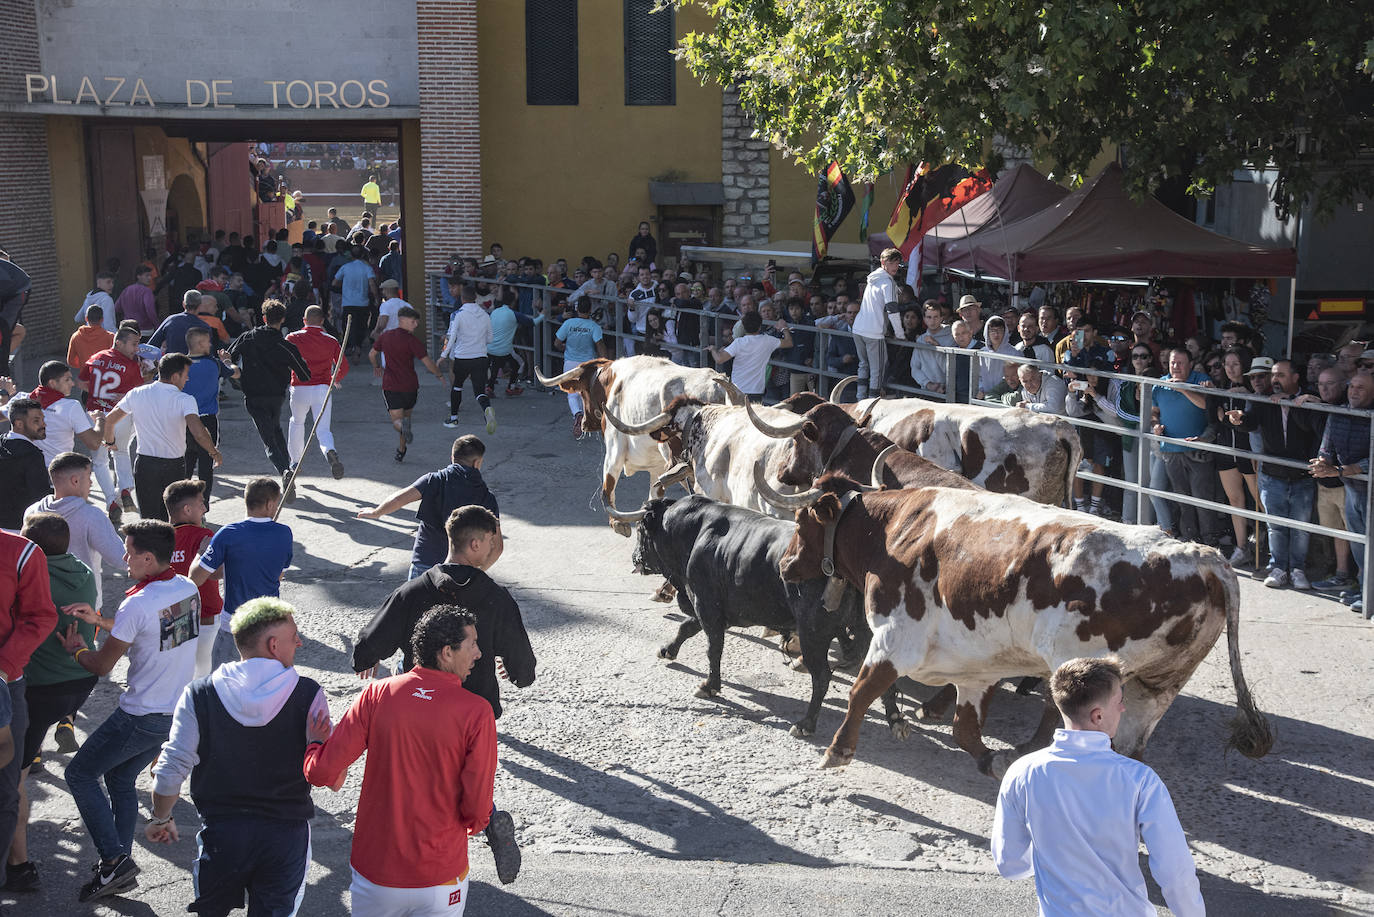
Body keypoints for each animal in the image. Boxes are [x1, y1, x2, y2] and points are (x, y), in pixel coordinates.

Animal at [629, 494, 906, 736]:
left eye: (641, 530)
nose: (634, 558)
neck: (692, 530)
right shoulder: (710, 608)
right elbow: (686, 627)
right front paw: (667, 650)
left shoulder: (706, 604)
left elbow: (712, 648)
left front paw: (709, 686)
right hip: (866, 630)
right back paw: (895, 720)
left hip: (812, 633)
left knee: (822, 676)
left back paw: (805, 724)